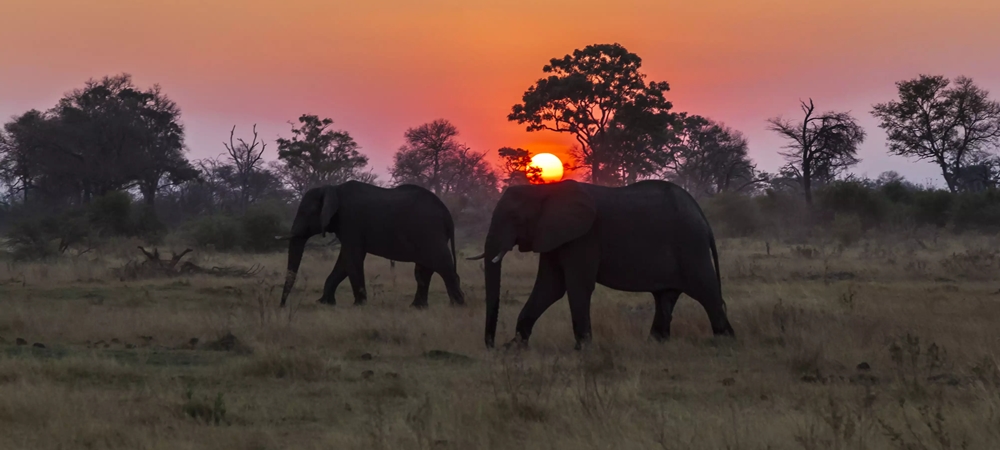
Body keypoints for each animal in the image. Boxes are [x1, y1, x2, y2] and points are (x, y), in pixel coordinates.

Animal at [274, 181, 460, 308]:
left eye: (305, 213)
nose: (282, 305)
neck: (333, 188)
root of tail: (448, 216)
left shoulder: (351, 221)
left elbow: (352, 258)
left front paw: (359, 305)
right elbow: (345, 261)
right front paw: (324, 303)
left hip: (430, 231)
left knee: (442, 265)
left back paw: (457, 306)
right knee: (424, 270)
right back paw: (417, 307)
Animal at [466, 178, 736, 350]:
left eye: (514, 217)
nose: (492, 345)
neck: (544, 190)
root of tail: (703, 217)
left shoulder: (583, 237)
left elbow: (575, 286)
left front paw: (582, 348)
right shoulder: (555, 236)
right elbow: (550, 287)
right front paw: (515, 347)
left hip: (690, 244)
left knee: (705, 290)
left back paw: (725, 341)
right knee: (666, 296)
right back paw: (654, 343)